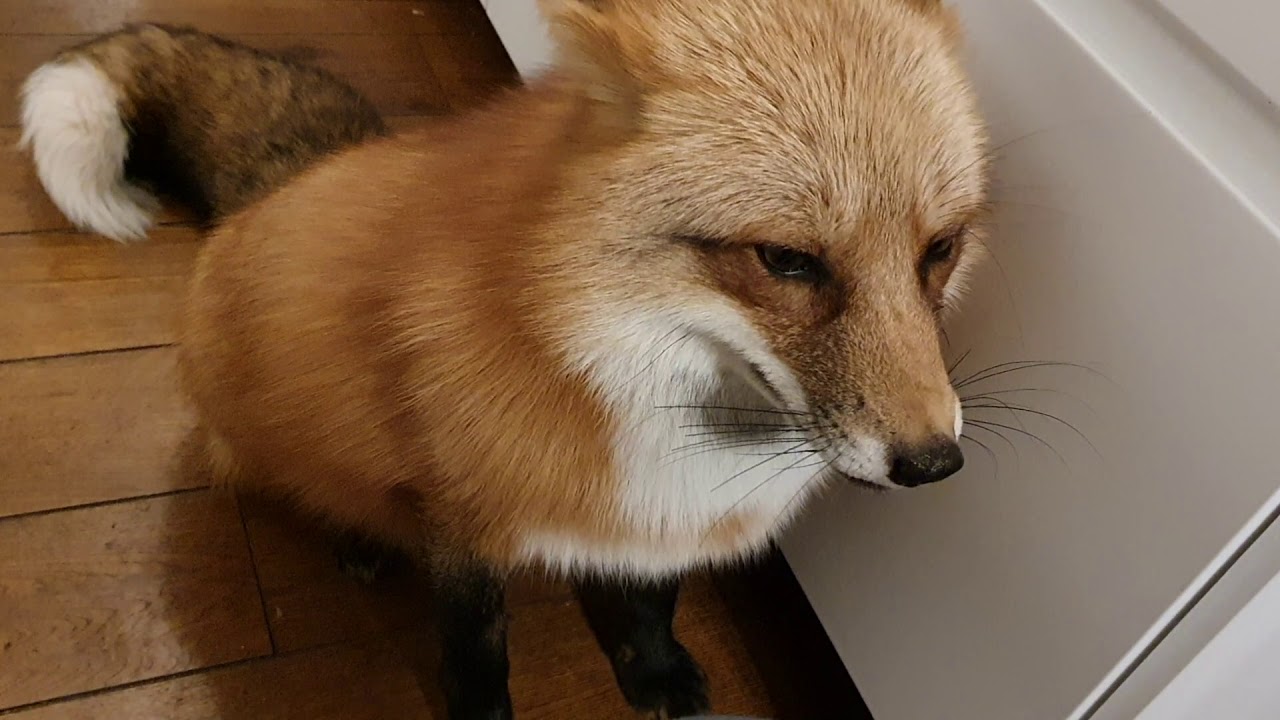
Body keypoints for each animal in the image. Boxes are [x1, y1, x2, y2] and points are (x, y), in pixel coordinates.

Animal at [20, 0, 989, 718]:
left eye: (940, 250)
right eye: (786, 260)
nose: (935, 463)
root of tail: (295, 177)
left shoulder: (662, 522)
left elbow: (652, 603)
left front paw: (652, 672)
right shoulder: (462, 524)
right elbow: (477, 656)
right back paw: (357, 536)